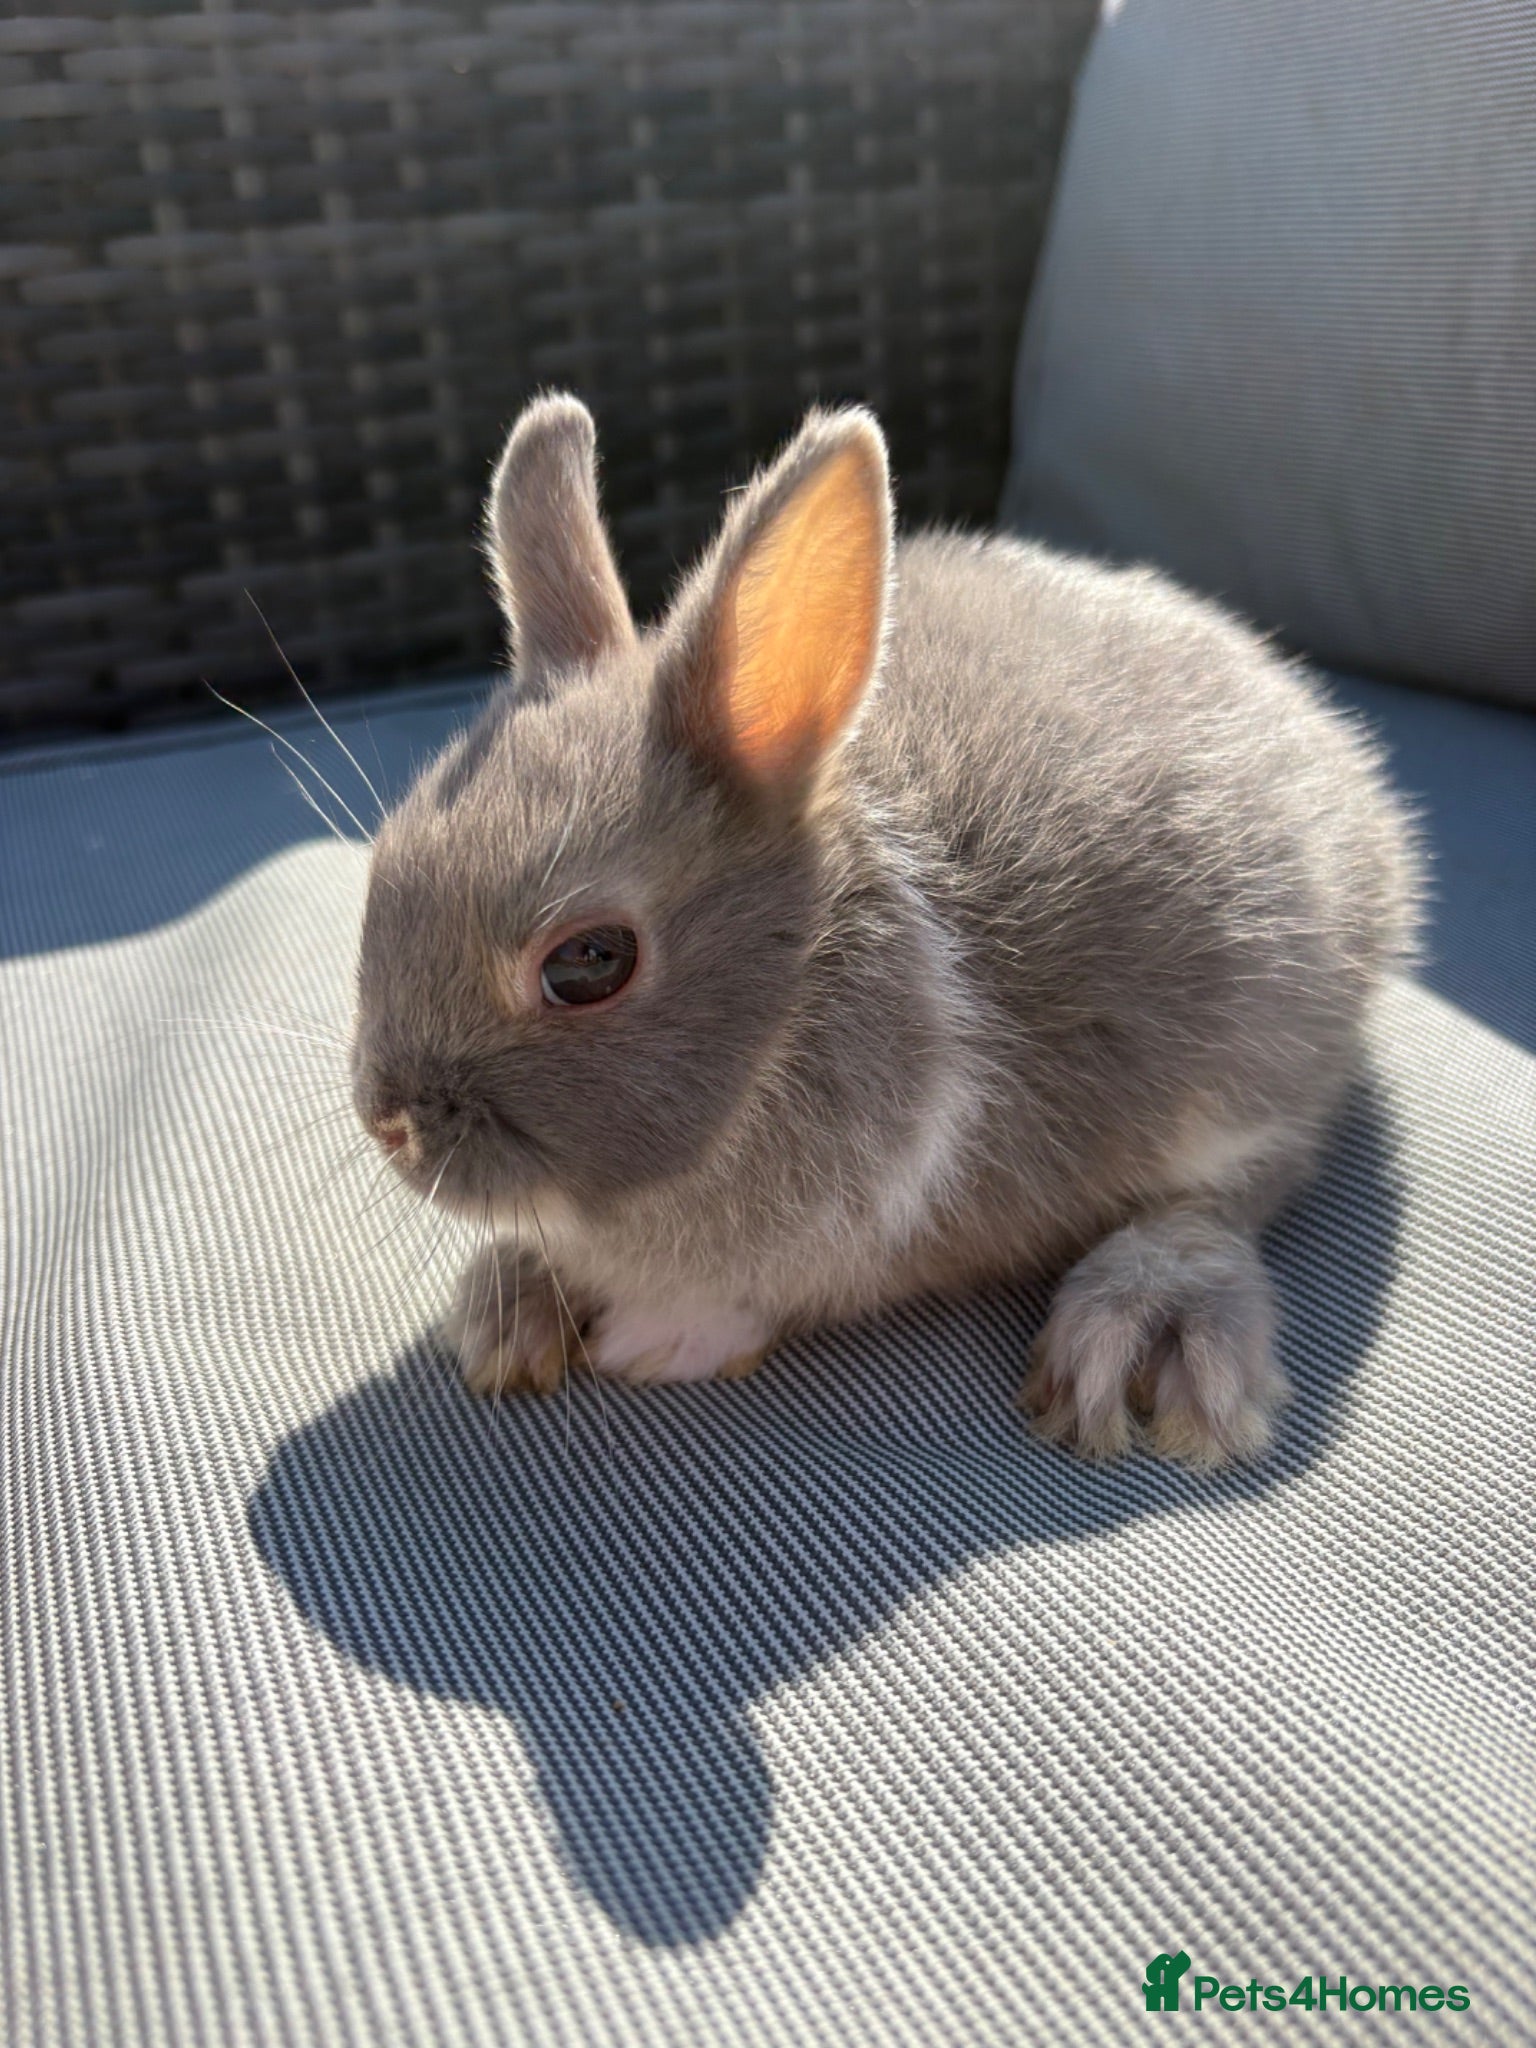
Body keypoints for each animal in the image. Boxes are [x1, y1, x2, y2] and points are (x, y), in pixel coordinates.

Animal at [350, 393, 1419, 1465]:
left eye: (587, 961)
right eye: (383, 870)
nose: (388, 1125)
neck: (809, 978)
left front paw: (656, 1337)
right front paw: (510, 1302)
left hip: (1260, 1052)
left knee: (1239, 1189)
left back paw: (1144, 1326)